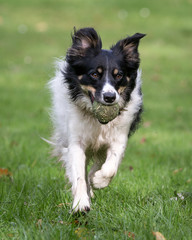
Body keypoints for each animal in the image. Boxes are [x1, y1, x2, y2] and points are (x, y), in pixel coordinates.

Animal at [49, 28, 146, 212]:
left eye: (119, 75)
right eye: (94, 74)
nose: (109, 97)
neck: (98, 121)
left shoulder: (118, 138)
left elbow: (110, 167)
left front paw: (98, 180)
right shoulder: (76, 142)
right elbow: (79, 175)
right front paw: (81, 204)